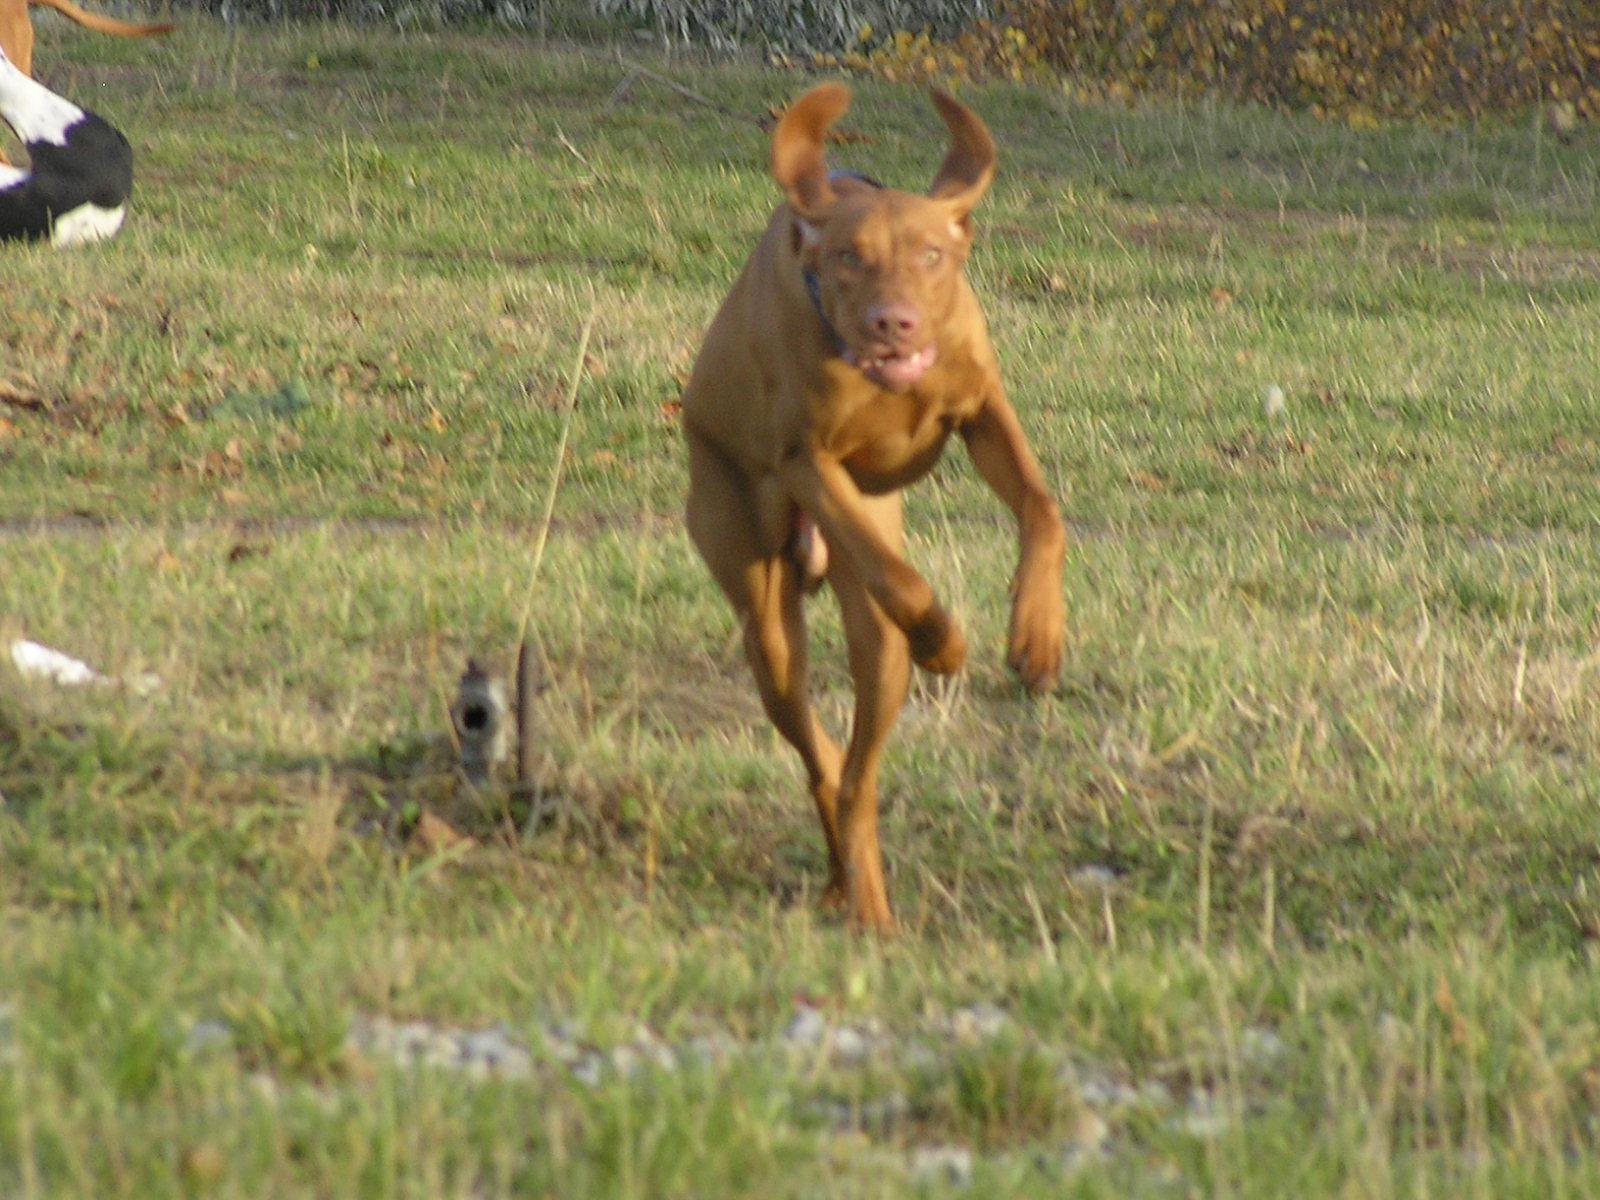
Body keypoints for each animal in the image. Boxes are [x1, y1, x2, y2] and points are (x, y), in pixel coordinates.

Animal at [681, 84, 1068, 934]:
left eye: (932, 256)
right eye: (848, 258)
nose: (895, 323)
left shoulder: (983, 410)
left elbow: (1042, 507)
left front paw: (1036, 637)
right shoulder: (811, 463)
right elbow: (904, 580)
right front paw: (944, 640)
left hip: (872, 656)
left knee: (858, 772)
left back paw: (862, 895)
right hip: (764, 612)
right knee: (826, 762)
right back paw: (855, 892)